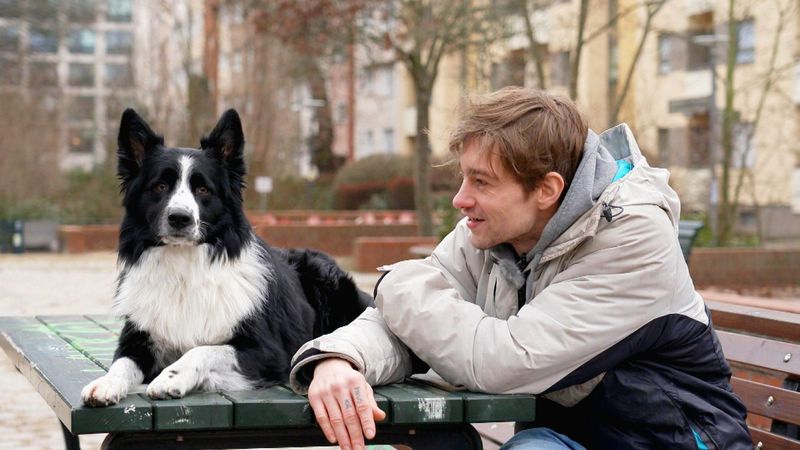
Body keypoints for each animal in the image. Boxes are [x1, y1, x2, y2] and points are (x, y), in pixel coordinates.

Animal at [81, 110, 368, 408]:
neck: (184, 268)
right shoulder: (137, 340)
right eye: (160, 186)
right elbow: (122, 363)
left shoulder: (269, 352)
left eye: (203, 190)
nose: (180, 218)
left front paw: (171, 378)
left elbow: (203, 350)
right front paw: (106, 383)